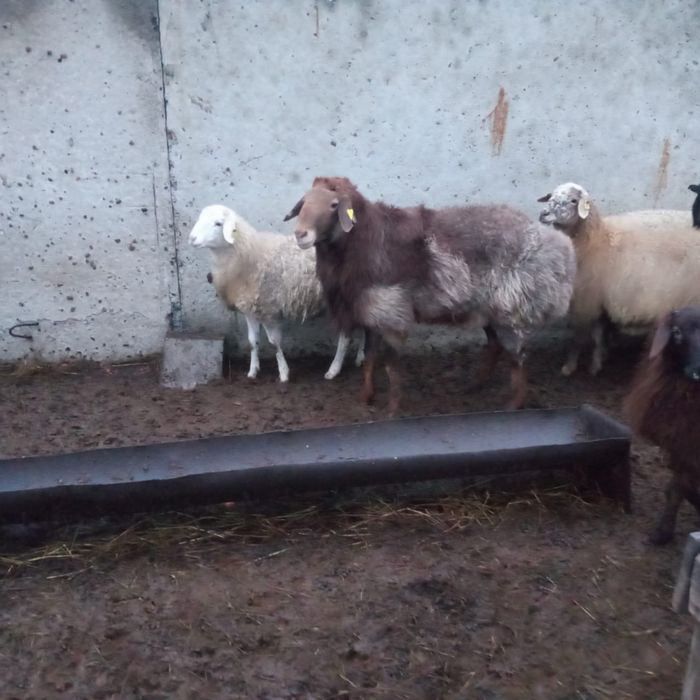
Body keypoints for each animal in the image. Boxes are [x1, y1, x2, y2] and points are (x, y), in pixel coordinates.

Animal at [189, 204, 364, 382]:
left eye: (218, 223)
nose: (192, 239)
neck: (248, 254)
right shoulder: (250, 309)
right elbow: (252, 341)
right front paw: (252, 371)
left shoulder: (268, 309)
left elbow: (274, 342)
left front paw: (284, 373)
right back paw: (360, 358)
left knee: (345, 336)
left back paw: (334, 369)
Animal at [283, 176, 576, 414]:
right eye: (304, 203)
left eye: (334, 205)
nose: (301, 234)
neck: (363, 241)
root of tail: (559, 248)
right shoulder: (370, 310)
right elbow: (370, 357)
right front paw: (366, 398)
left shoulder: (390, 310)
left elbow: (390, 362)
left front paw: (392, 409)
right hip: (488, 310)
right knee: (495, 346)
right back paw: (473, 386)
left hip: (511, 307)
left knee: (518, 356)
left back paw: (513, 405)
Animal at [538, 182, 700, 376]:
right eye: (551, 196)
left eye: (573, 200)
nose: (544, 214)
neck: (596, 240)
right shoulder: (599, 302)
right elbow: (599, 337)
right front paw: (597, 363)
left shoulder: (586, 303)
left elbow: (577, 339)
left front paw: (569, 367)